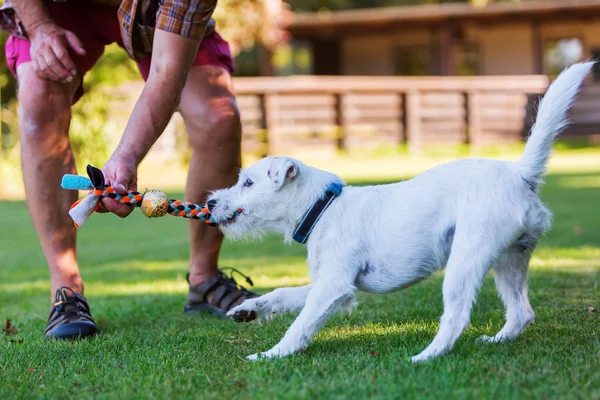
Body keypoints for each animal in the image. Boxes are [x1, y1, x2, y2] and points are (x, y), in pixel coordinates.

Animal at [209, 62, 592, 362]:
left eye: (248, 182)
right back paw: (497, 340)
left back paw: (425, 357)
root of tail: (521, 174)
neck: (323, 207)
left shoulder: (333, 287)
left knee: (457, 316)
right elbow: (282, 295)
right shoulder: (333, 285)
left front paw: (271, 355)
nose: (210, 202)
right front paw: (248, 310)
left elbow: (299, 325)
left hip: (467, 258)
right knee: (521, 312)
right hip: (511, 260)